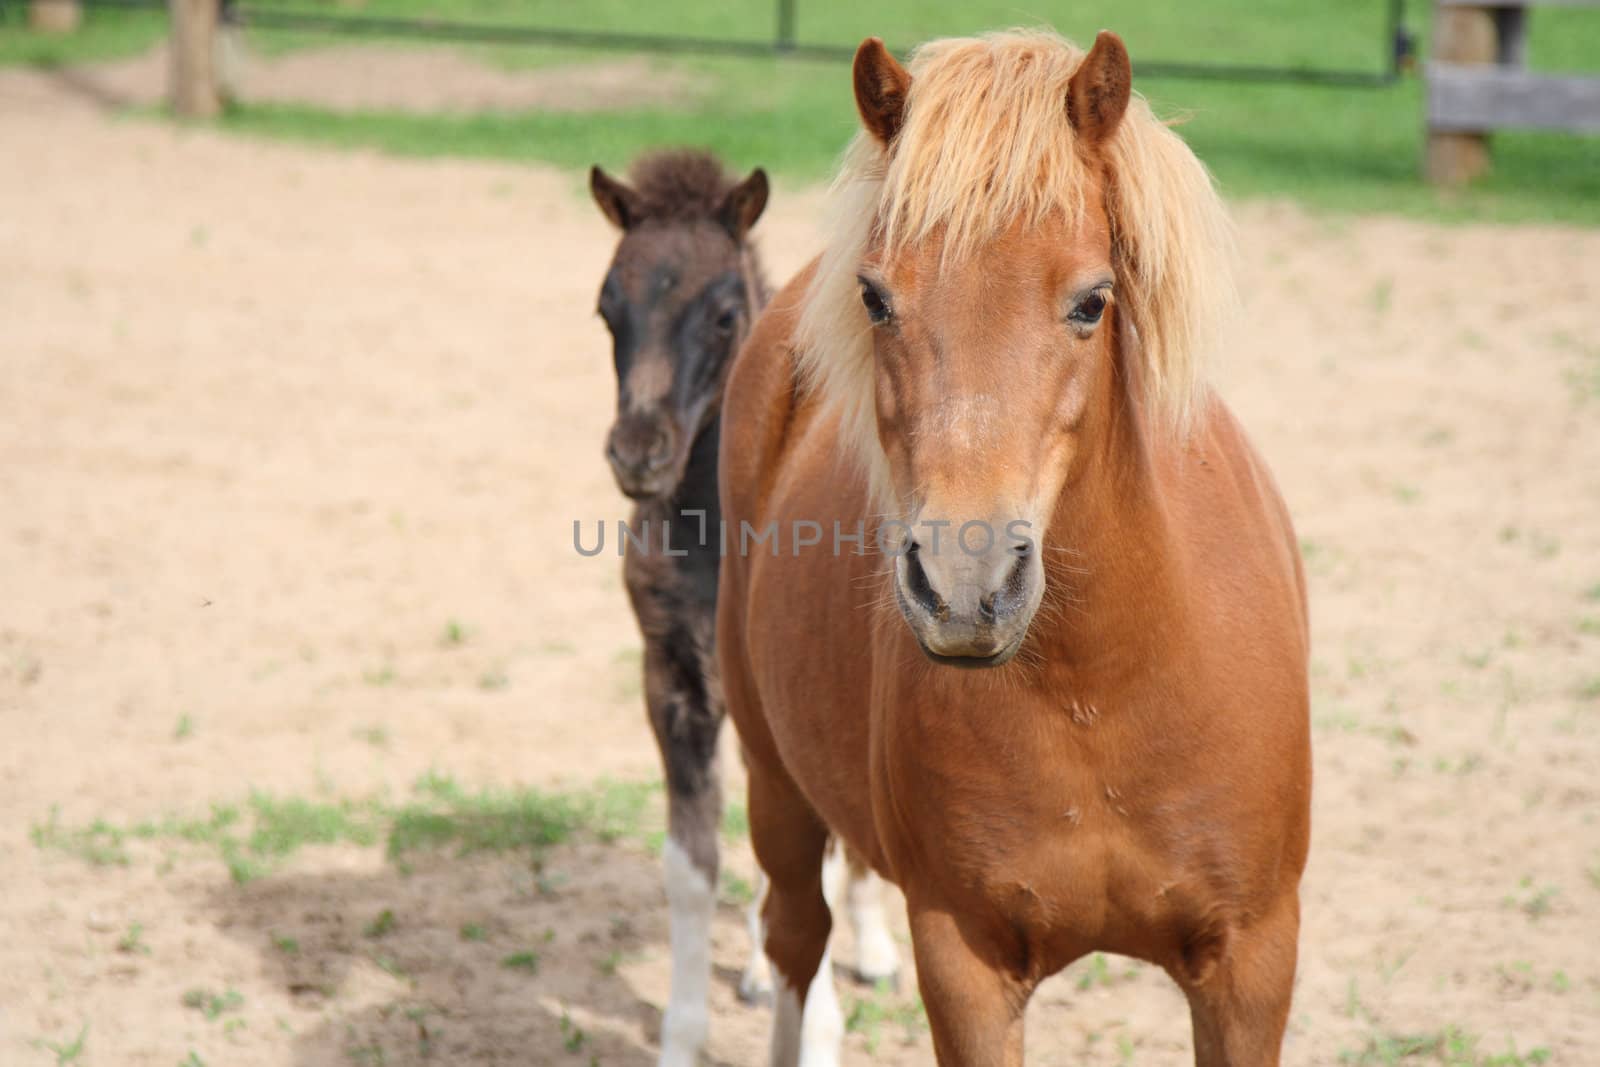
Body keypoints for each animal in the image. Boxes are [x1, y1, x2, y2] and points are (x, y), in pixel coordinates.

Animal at [716, 29, 1312, 1062]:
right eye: (875, 297)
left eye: (1092, 300)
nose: (965, 582)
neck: (1099, 692)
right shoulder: (967, 963)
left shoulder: (1251, 964)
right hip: (774, 784)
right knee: (795, 940)